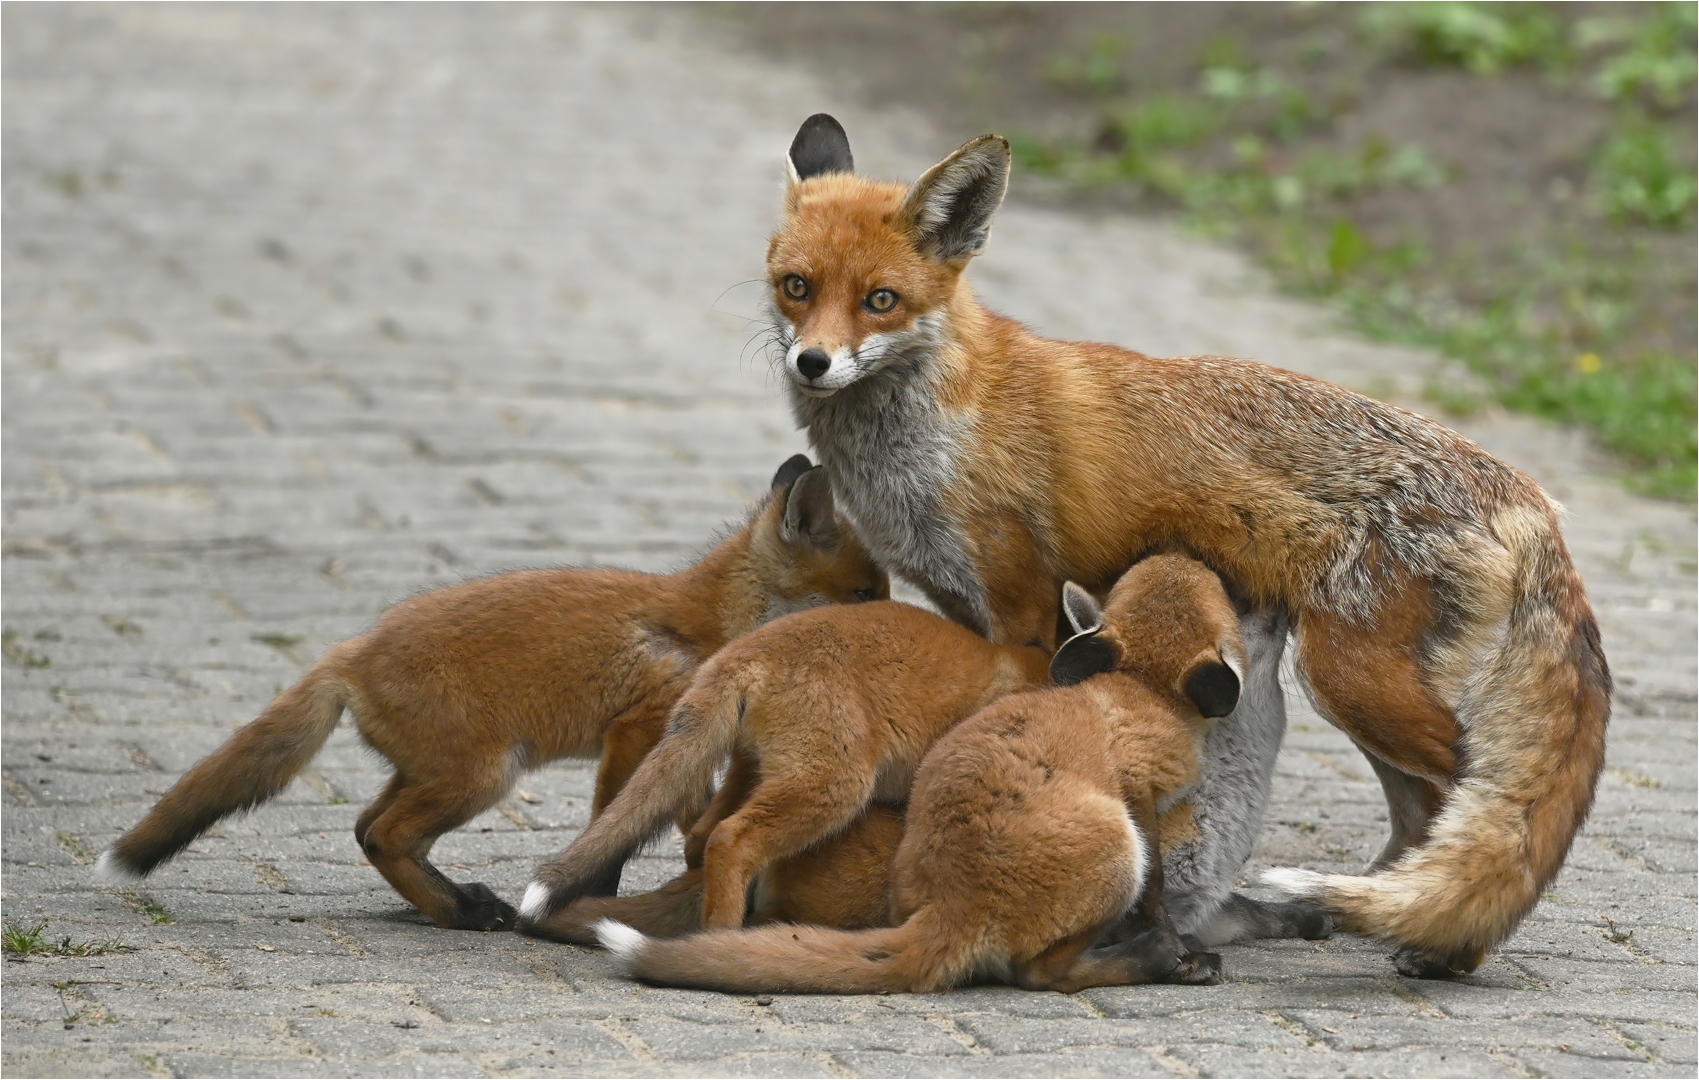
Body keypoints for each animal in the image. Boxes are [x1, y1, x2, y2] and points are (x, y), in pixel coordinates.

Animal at [598, 553, 1250, 991]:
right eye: (1213, 590)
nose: (1200, 555)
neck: (1138, 689)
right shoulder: (1139, 792)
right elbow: (1157, 886)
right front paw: (1178, 945)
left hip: (764, 776)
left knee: (701, 838)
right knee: (1042, 974)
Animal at [764, 113, 1610, 971]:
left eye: (880, 300)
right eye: (795, 286)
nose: (812, 362)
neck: (935, 431)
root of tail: (1525, 495)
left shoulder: (1018, 602)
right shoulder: (962, 601)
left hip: (1350, 681)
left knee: (1475, 802)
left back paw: (1445, 948)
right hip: (1362, 695)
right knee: (1425, 816)